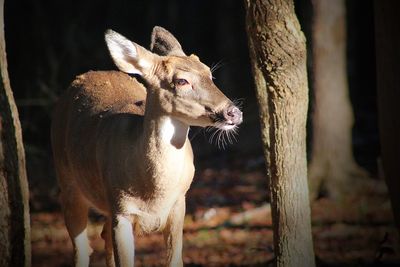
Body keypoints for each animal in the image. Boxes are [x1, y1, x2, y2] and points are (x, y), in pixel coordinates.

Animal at [51, 25, 242, 267]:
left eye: (209, 73)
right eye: (182, 81)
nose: (234, 112)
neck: (155, 193)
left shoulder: (179, 202)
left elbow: (174, 260)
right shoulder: (121, 210)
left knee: (103, 236)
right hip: (66, 180)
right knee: (82, 248)